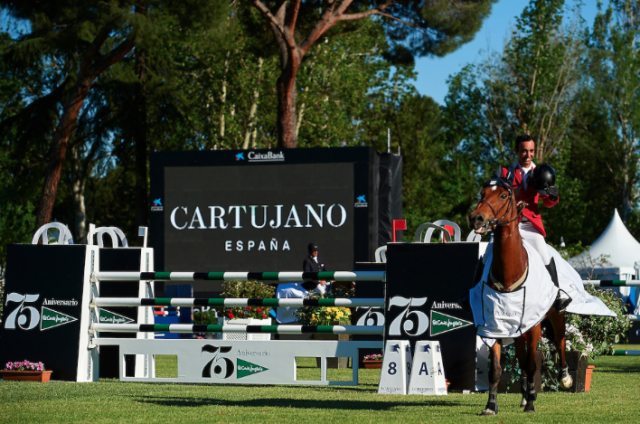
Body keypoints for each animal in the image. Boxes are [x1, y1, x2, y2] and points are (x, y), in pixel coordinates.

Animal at [468, 178, 572, 414]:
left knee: (560, 342)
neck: (509, 273)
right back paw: (525, 394)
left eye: (503, 196)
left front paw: (532, 404)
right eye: (482, 193)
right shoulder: (494, 326)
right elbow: (496, 369)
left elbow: (533, 364)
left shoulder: (533, 327)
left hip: (555, 316)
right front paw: (491, 405)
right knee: (521, 357)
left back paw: (563, 378)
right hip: (515, 328)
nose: (477, 217)